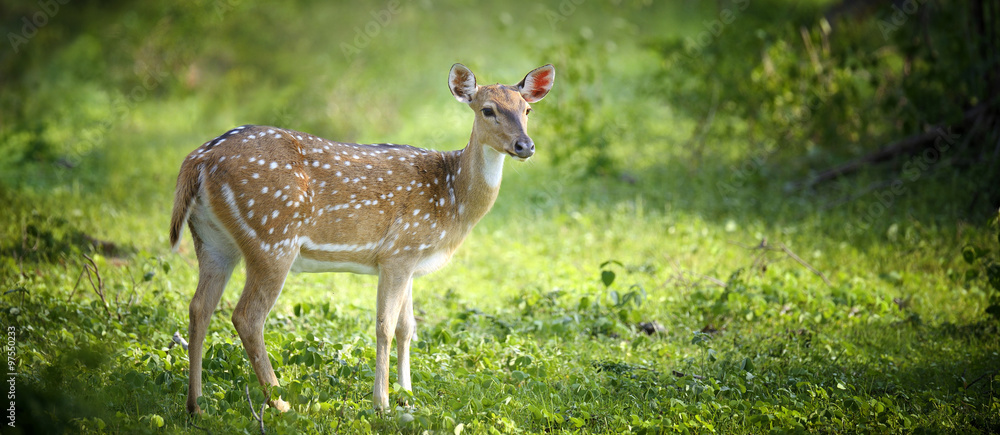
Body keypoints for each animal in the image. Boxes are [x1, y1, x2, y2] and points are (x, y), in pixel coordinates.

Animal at [169, 63, 554, 413]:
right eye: (487, 109)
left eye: (527, 110)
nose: (525, 145)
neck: (452, 197)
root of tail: (198, 159)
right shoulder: (398, 251)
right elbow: (385, 326)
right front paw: (381, 403)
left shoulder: (409, 259)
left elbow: (407, 327)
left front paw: (407, 395)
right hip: (272, 237)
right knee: (247, 317)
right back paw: (281, 405)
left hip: (213, 241)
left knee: (199, 307)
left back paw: (196, 405)